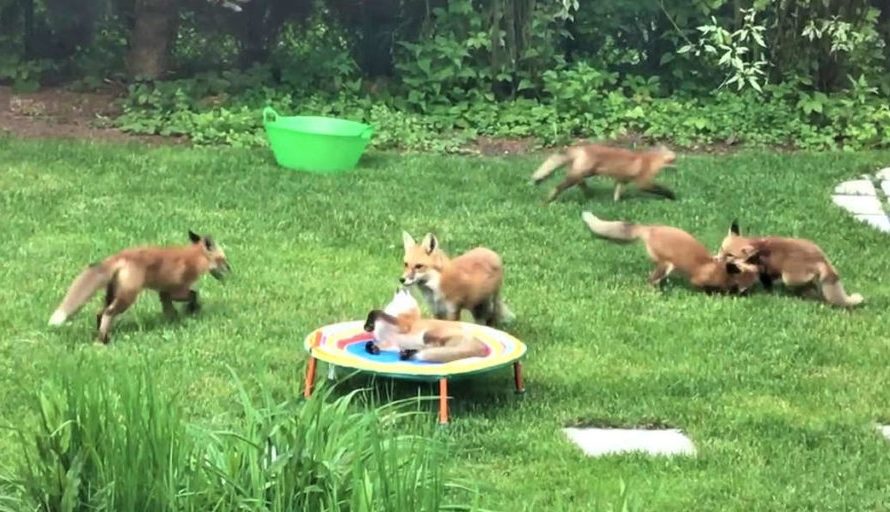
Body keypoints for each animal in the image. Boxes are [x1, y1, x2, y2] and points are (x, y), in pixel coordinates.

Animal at [47, 231, 231, 344]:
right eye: (223, 260)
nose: (231, 271)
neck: (193, 258)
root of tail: (118, 256)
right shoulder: (176, 289)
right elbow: (194, 294)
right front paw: (192, 309)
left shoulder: (164, 292)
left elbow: (170, 309)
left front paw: (174, 321)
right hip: (127, 297)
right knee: (108, 313)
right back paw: (102, 341)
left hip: (113, 294)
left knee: (100, 313)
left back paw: (101, 336)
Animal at [360, 288, 490, 364]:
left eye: (407, 291)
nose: (401, 285)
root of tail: (479, 343)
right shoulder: (389, 344)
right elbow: (369, 344)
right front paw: (373, 349)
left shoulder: (403, 325)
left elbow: (376, 312)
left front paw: (368, 325)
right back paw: (407, 354)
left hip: (428, 335)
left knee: (431, 348)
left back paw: (409, 353)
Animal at [532, 142, 676, 204]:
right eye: (675, 158)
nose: (678, 166)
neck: (650, 160)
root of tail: (580, 147)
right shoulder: (643, 182)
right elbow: (660, 189)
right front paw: (672, 195)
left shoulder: (622, 180)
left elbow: (617, 193)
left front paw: (616, 204)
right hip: (582, 173)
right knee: (558, 187)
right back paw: (549, 200)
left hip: (584, 173)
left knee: (580, 182)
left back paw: (589, 194)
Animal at [580, 211, 760, 292]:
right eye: (742, 287)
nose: (745, 294)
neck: (718, 271)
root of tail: (650, 228)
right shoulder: (698, 280)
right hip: (666, 265)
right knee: (650, 280)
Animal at [716, 218, 860, 306]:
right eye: (721, 249)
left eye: (730, 255)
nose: (716, 259)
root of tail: (821, 258)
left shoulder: (764, 271)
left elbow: (767, 284)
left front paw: (768, 293)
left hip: (789, 278)